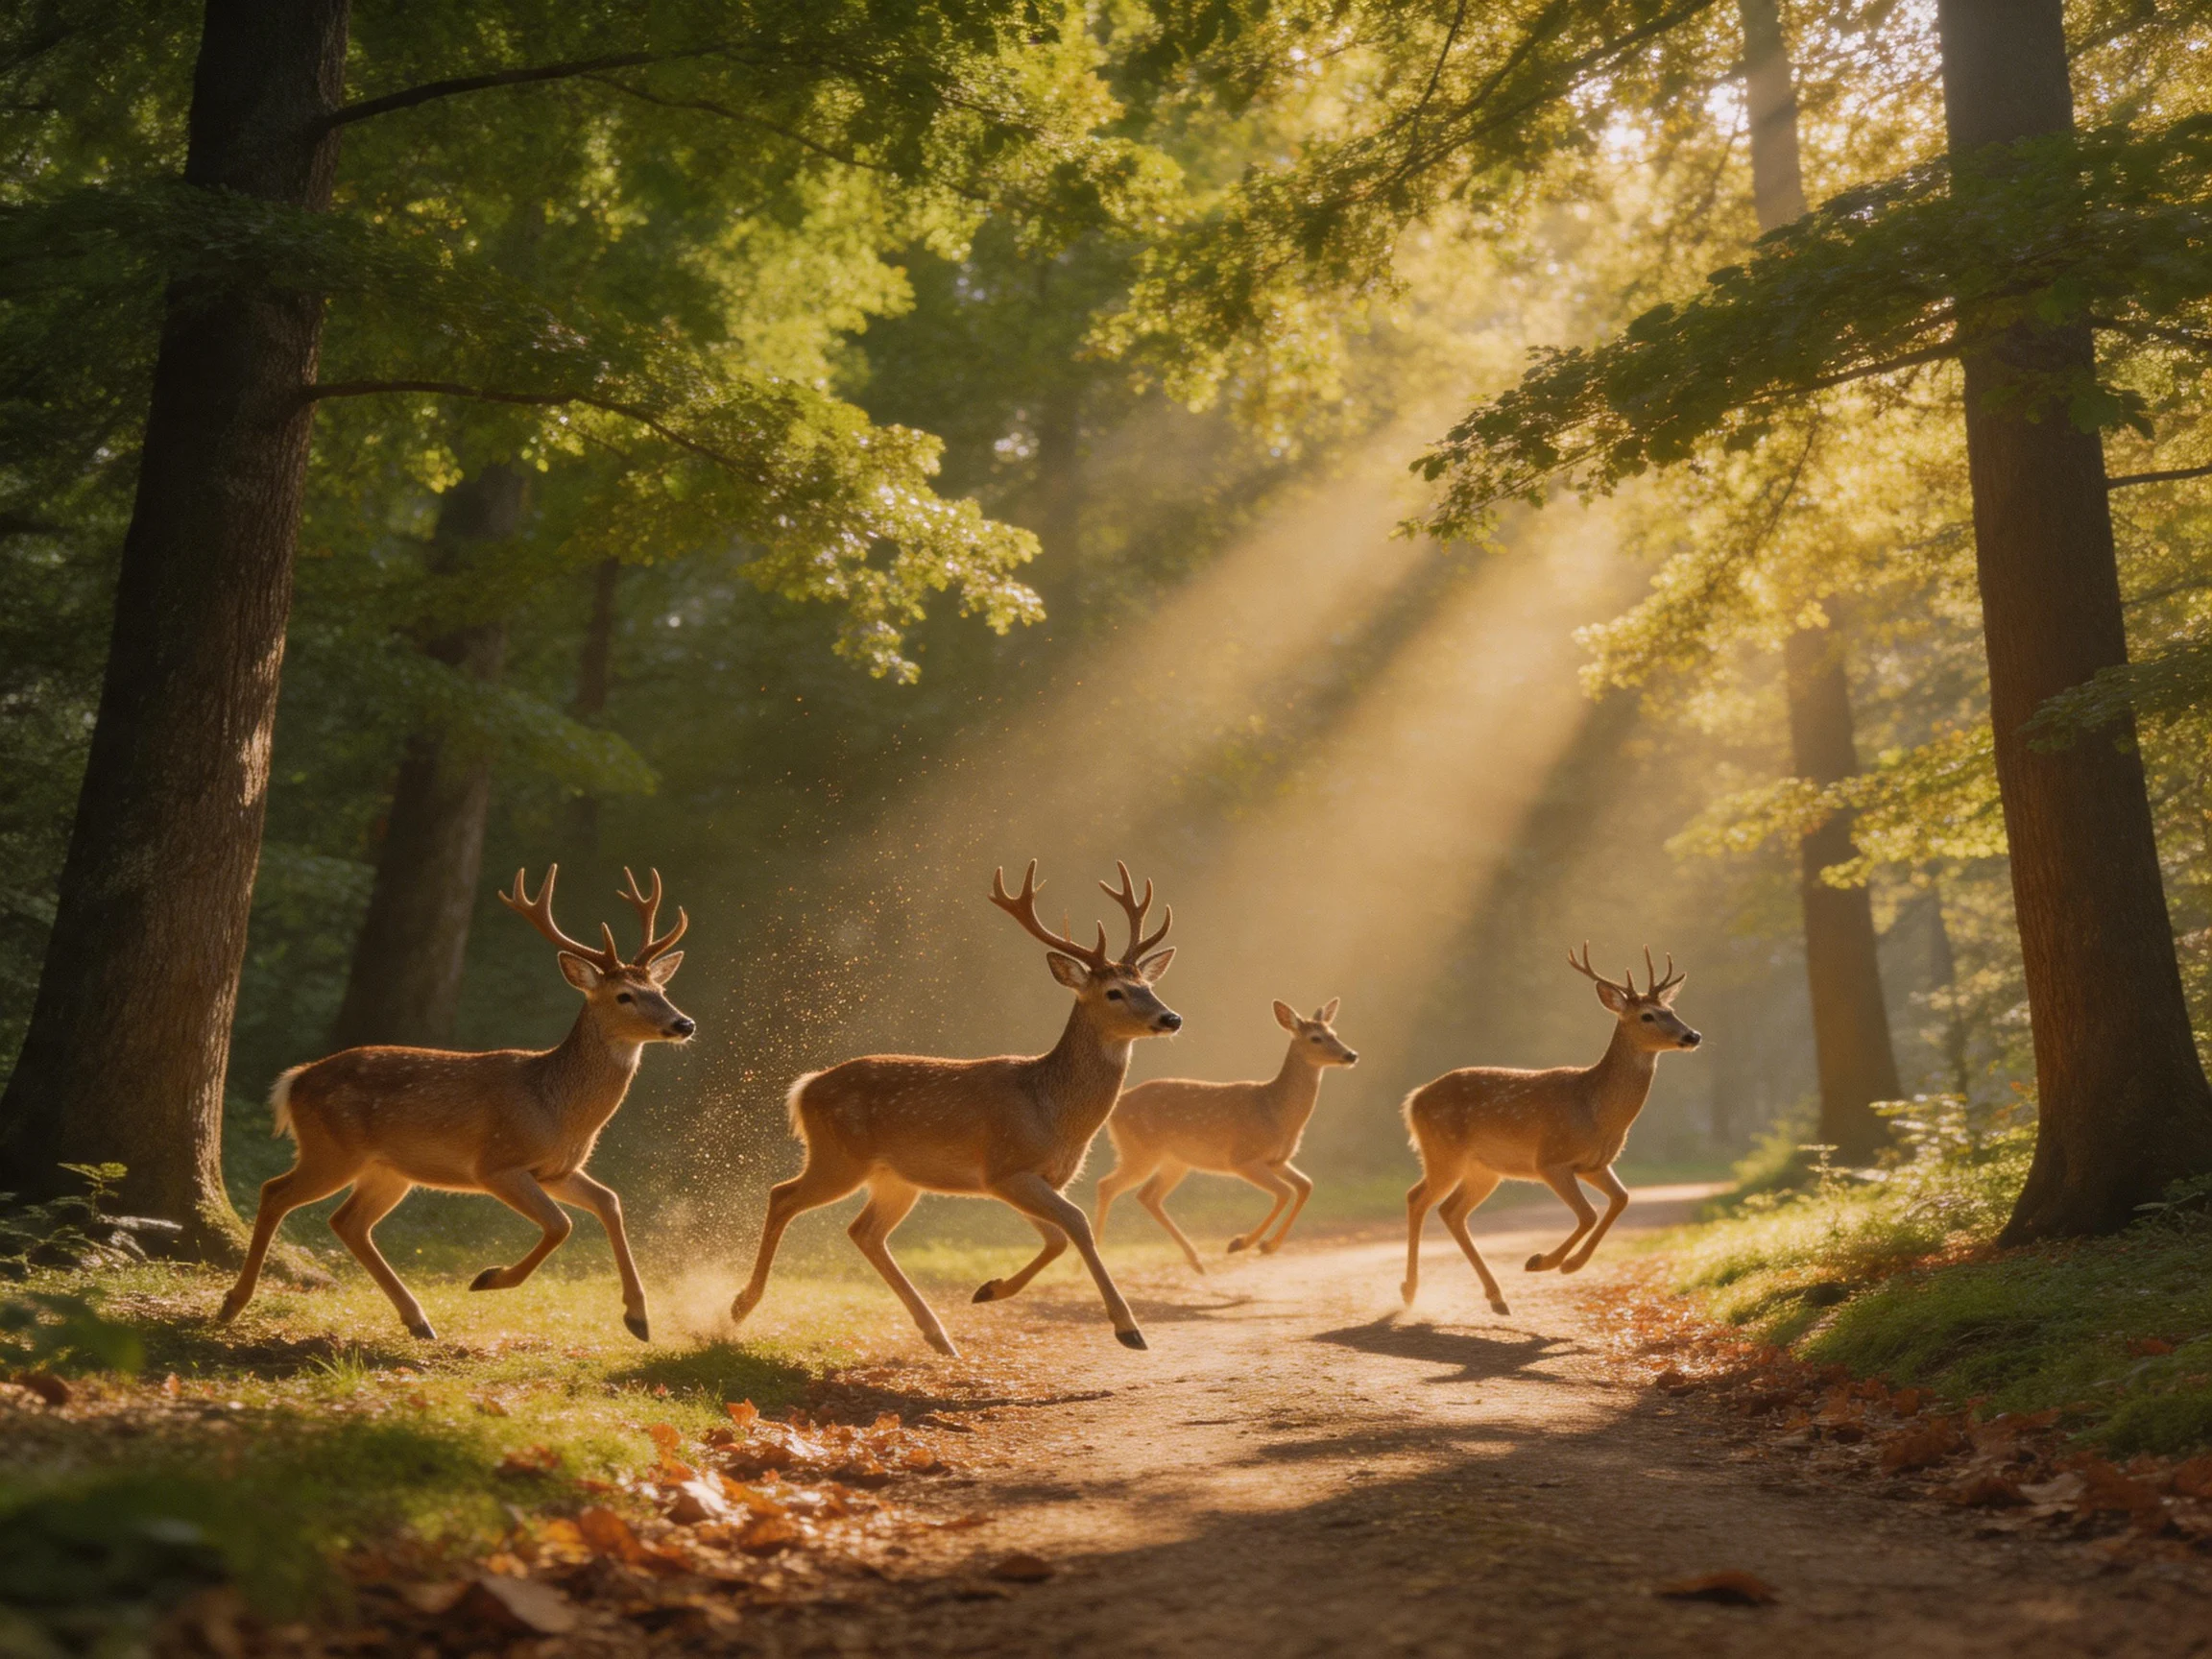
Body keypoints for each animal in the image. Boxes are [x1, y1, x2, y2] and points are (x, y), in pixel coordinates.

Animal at [218, 866, 692, 1343]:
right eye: (624, 996)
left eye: (661, 987)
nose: (683, 1023)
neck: (557, 1107)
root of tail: (294, 1081)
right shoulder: (496, 1163)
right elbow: (561, 1224)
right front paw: (489, 1278)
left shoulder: (558, 1170)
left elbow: (610, 1202)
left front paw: (639, 1317)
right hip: (332, 1150)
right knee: (275, 1192)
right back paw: (233, 1303)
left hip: (387, 1169)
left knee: (347, 1222)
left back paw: (417, 1319)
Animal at [730, 860, 1179, 1356]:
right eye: (1114, 992)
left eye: (1148, 985)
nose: (1171, 1018)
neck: (1053, 1112)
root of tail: (804, 1088)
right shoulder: (1006, 1166)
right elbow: (1076, 1224)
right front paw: (1128, 1328)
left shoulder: (1021, 1178)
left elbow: (1057, 1238)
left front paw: (989, 1289)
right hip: (839, 1157)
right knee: (783, 1195)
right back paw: (741, 1305)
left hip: (894, 1177)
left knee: (863, 1231)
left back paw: (937, 1334)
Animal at [1093, 999, 1358, 1272]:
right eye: (1316, 1038)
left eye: (1334, 1033)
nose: (1351, 1055)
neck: (1276, 1112)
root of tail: (1116, 1108)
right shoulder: (1242, 1158)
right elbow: (1285, 1192)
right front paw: (1241, 1243)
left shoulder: (1278, 1160)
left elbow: (1305, 1185)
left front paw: (1267, 1245)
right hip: (1140, 1151)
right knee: (1107, 1185)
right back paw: (1096, 1254)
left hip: (1174, 1161)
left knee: (1146, 1196)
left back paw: (1196, 1260)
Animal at [1400, 946, 1699, 1316]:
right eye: (1647, 1016)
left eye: (1671, 1010)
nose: (1692, 1036)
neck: (1596, 1111)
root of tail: (1413, 1100)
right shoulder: (1550, 1159)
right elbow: (1588, 1213)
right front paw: (1543, 1262)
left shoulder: (1595, 1164)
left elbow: (1621, 1198)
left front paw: (1570, 1264)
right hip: (1444, 1153)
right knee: (1417, 1198)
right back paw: (1411, 1291)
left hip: (1483, 1170)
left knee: (1450, 1211)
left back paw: (1495, 1296)